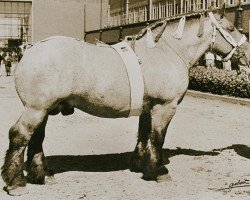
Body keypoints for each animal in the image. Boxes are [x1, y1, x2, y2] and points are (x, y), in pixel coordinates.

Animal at [1, 6, 250, 195]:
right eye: (231, 28)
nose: (247, 54)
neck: (165, 52)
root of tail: (30, 50)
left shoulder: (148, 107)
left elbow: (143, 136)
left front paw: (141, 166)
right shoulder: (165, 107)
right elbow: (157, 138)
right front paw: (159, 171)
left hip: (43, 109)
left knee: (36, 139)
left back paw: (41, 175)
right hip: (36, 108)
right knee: (20, 135)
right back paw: (16, 183)